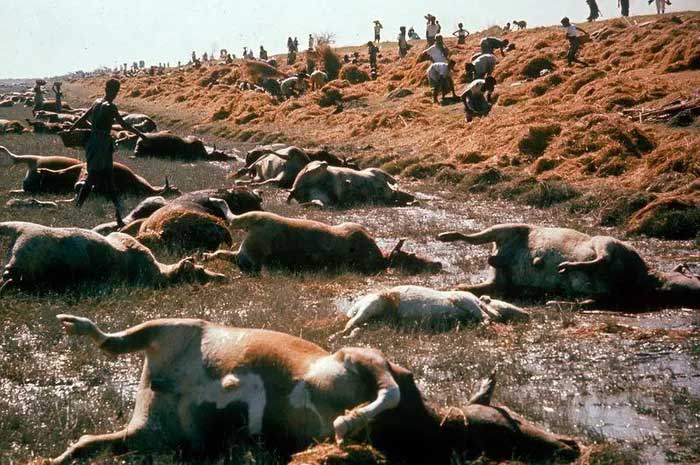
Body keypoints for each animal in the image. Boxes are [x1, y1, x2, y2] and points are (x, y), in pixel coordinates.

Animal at [49, 314, 580, 464]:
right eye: (514, 416)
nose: (571, 444)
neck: (422, 426)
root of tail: (155, 382)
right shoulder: (364, 357)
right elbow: (386, 391)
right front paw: (346, 422)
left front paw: (345, 426)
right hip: (173, 326)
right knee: (116, 339)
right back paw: (79, 325)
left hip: (155, 436)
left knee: (88, 443)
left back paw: (61, 457)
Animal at [204, 211, 442, 274]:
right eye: (411, 258)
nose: (438, 263)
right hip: (259, 235)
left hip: (248, 252)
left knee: (228, 254)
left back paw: (207, 255)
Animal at [438, 224, 700, 308]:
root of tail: (499, 254)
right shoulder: (612, 244)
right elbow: (602, 257)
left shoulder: (606, 298)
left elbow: (586, 302)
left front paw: (558, 300)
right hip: (509, 227)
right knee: (473, 237)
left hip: (501, 281)